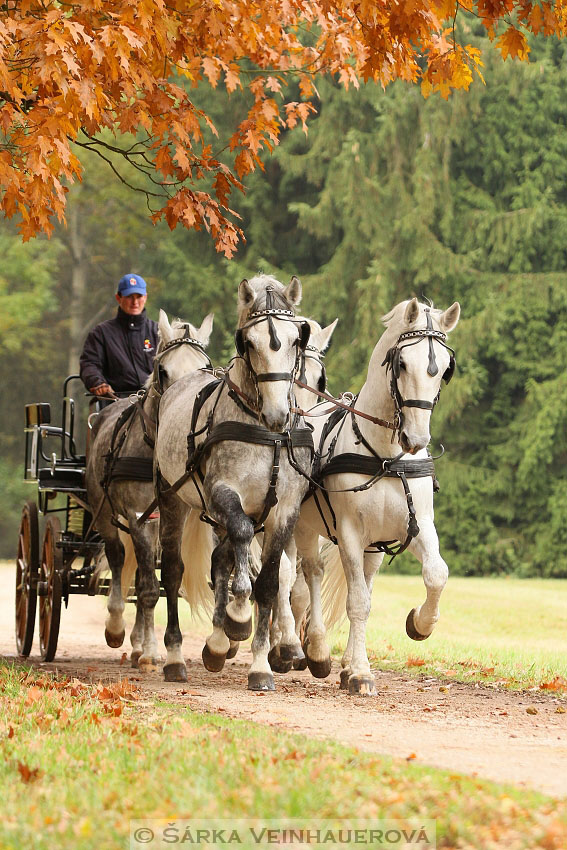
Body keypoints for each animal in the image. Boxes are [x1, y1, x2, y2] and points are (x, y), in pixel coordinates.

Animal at [86, 308, 213, 664]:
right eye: (162, 369)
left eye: (204, 366)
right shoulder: (138, 515)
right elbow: (145, 588)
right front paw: (149, 650)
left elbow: (154, 584)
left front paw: (148, 648)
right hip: (105, 512)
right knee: (117, 558)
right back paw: (118, 627)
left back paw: (138, 641)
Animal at [292, 296, 462, 688]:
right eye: (402, 363)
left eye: (445, 370)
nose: (416, 438)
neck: (385, 456)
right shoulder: (350, 533)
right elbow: (357, 602)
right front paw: (358, 672)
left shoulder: (415, 525)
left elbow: (436, 574)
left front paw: (419, 624)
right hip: (303, 527)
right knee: (307, 578)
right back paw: (313, 649)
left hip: (374, 545)